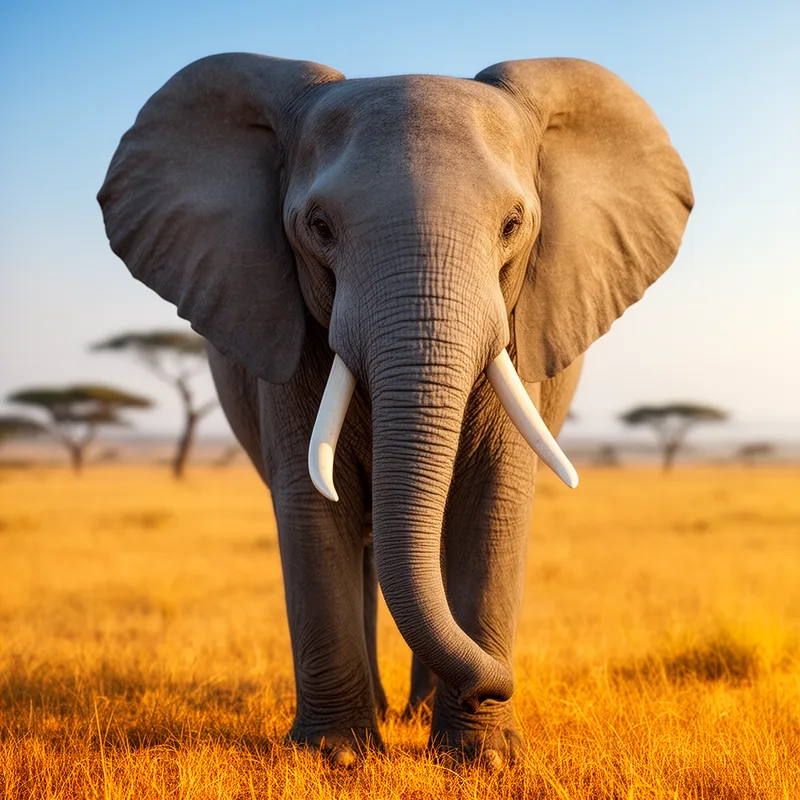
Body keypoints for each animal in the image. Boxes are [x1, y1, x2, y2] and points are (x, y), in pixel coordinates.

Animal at [98, 53, 692, 766]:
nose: (493, 684)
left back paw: (418, 711)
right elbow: (313, 507)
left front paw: (483, 758)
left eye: (513, 224)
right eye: (318, 227)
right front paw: (338, 758)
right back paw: (390, 713)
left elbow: (492, 503)